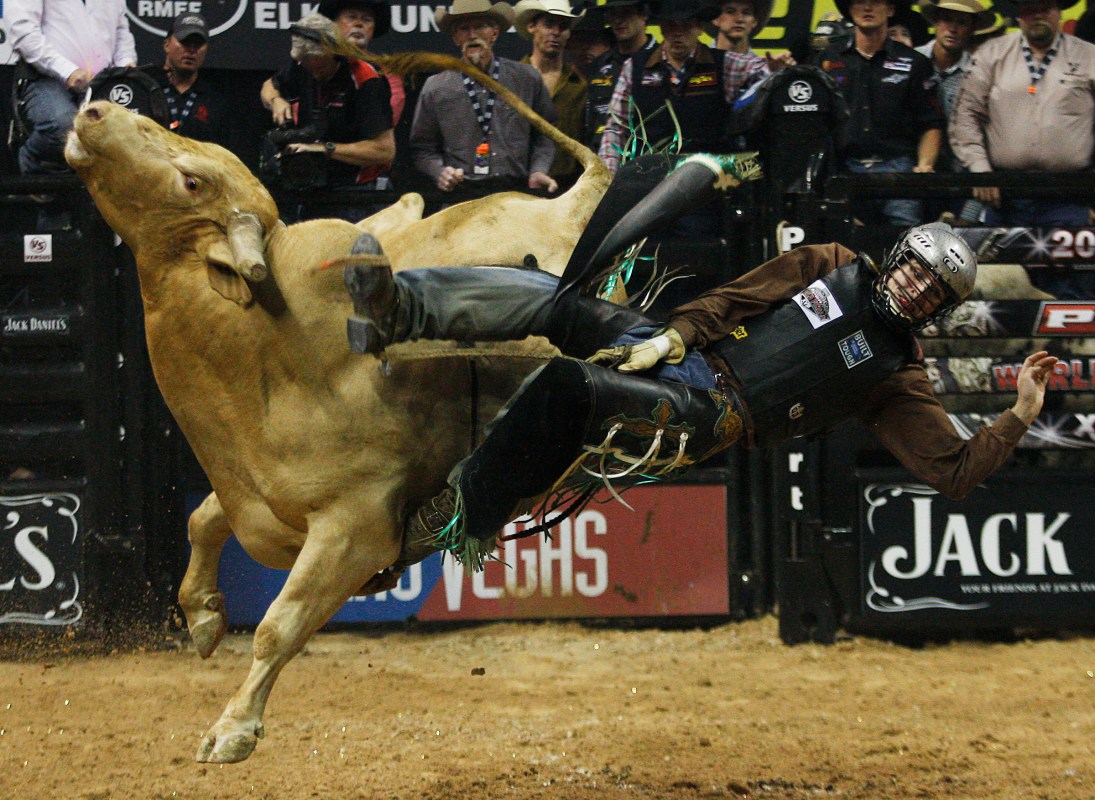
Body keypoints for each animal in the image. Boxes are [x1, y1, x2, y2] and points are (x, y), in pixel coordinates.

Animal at [63, 51, 611, 764]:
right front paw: (204, 617)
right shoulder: (251, 498)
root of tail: (572, 203)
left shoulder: (355, 527)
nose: (97, 110)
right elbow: (203, 520)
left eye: (192, 180)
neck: (269, 352)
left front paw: (232, 728)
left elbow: (279, 624)